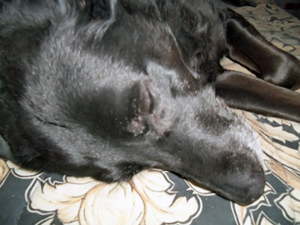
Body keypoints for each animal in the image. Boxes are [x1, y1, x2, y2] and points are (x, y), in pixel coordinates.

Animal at [0, 0, 300, 206]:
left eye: (148, 103)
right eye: (134, 169)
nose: (252, 190)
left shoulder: (219, 18)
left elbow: (283, 69)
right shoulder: (217, 82)